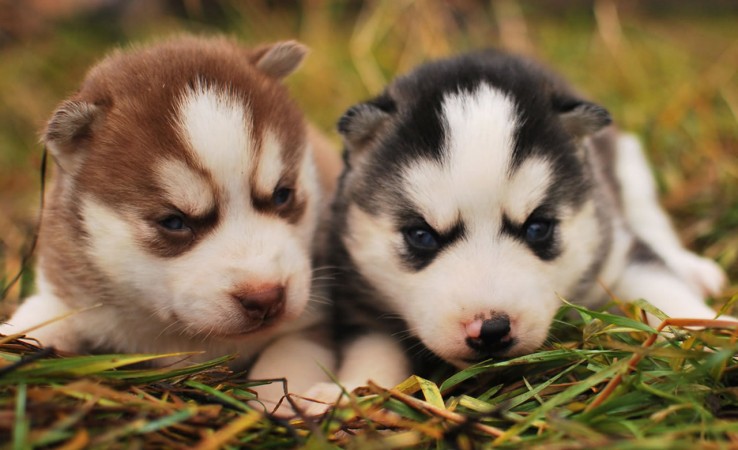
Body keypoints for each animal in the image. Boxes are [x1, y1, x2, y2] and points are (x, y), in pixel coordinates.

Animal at [0, 37, 340, 412]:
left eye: (282, 195)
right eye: (174, 221)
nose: (265, 298)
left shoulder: (315, 315)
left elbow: (287, 356)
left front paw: (281, 400)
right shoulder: (67, 294)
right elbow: (33, 321)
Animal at [324, 50, 732, 394]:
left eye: (537, 228)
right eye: (422, 235)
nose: (491, 330)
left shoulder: (613, 251)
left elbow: (664, 288)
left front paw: (713, 335)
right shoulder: (358, 300)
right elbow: (372, 348)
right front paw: (346, 392)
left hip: (629, 163)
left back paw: (692, 266)